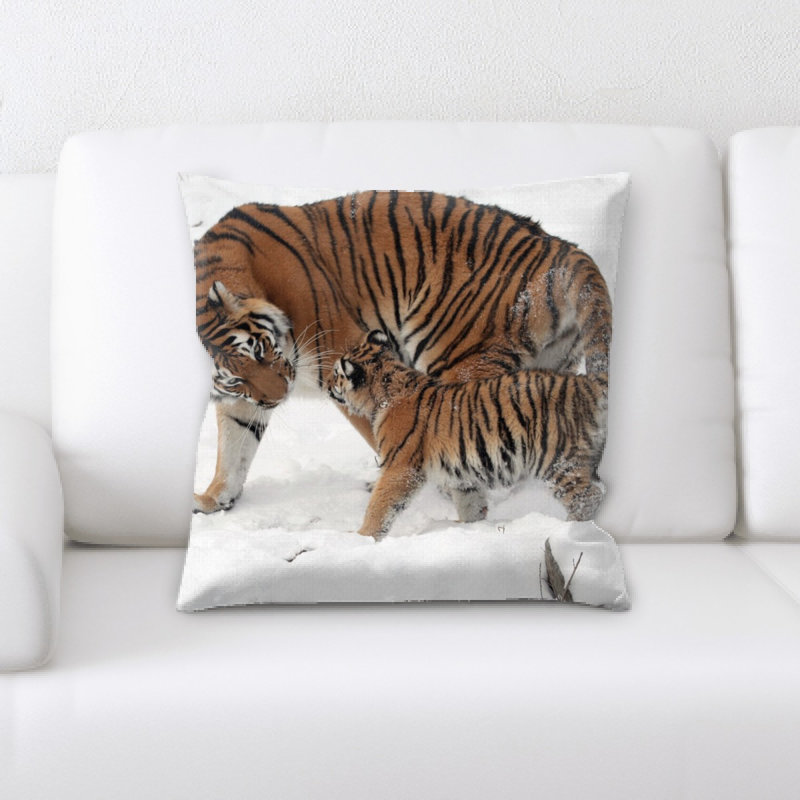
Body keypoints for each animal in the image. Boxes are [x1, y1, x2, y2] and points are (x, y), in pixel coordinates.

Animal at [192, 190, 611, 515]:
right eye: (236, 378)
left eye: (262, 350)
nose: (279, 397)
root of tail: (560, 247)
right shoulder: (244, 398)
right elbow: (233, 444)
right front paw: (214, 499)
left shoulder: (342, 357)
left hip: (457, 358)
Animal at [327, 330, 608, 538]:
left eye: (336, 374)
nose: (328, 386)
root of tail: (587, 382)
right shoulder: (462, 474)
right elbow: (471, 504)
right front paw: (468, 528)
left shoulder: (400, 467)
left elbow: (380, 505)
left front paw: (361, 537)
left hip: (556, 459)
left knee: (588, 496)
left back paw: (570, 529)